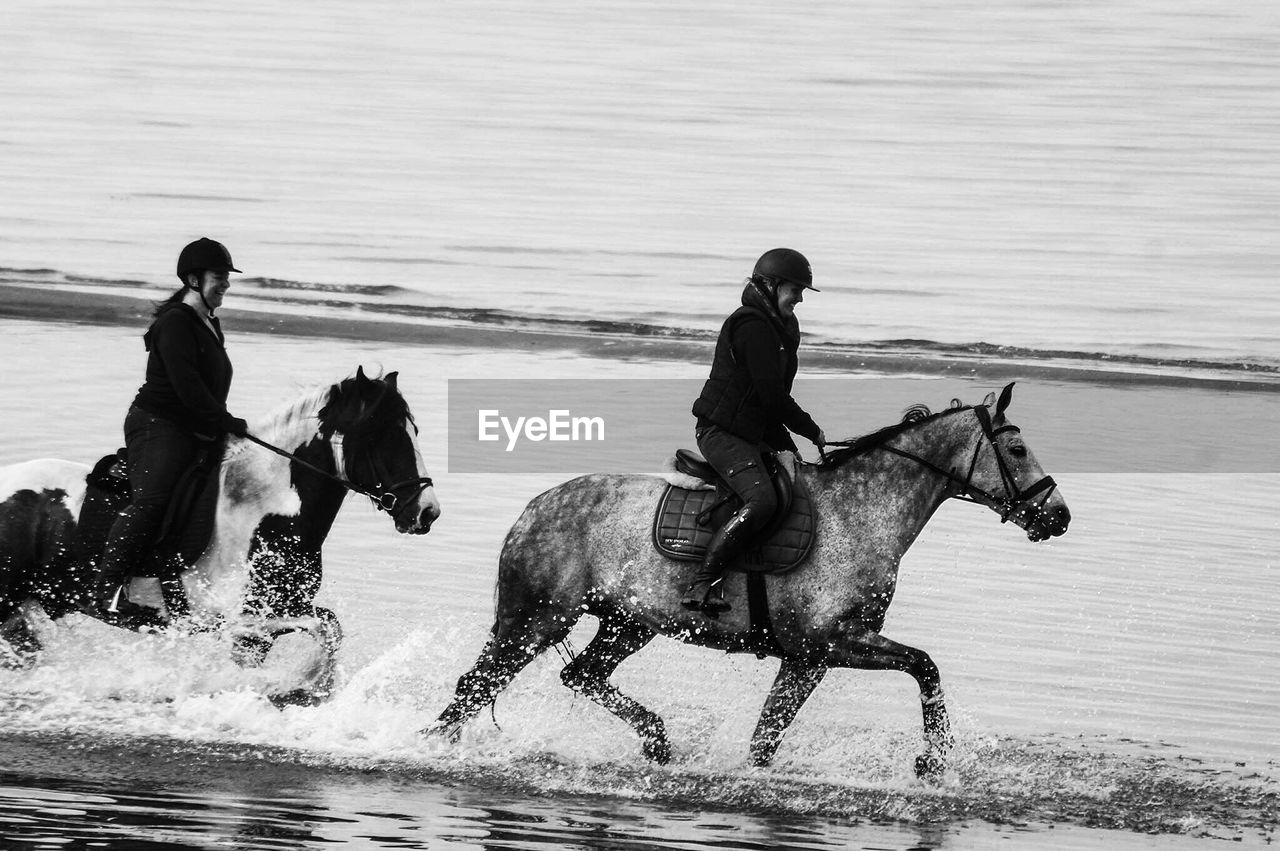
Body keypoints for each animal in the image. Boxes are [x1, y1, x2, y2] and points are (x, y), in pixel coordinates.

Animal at [0, 368, 440, 701]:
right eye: (381, 435)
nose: (427, 511)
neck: (262, 511)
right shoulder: (238, 621)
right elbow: (323, 629)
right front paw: (302, 687)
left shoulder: (276, 615)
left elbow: (331, 625)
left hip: (28, 607)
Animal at [430, 383, 1070, 778]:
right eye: (1017, 448)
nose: (1058, 516)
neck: (863, 510)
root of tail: (535, 507)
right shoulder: (831, 642)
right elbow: (926, 667)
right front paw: (932, 763)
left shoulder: (808, 658)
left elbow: (768, 735)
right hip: (536, 619)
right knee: (476, 687)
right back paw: (434, 749)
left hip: (628, 623)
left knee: (578, 675)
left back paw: (657, 742)